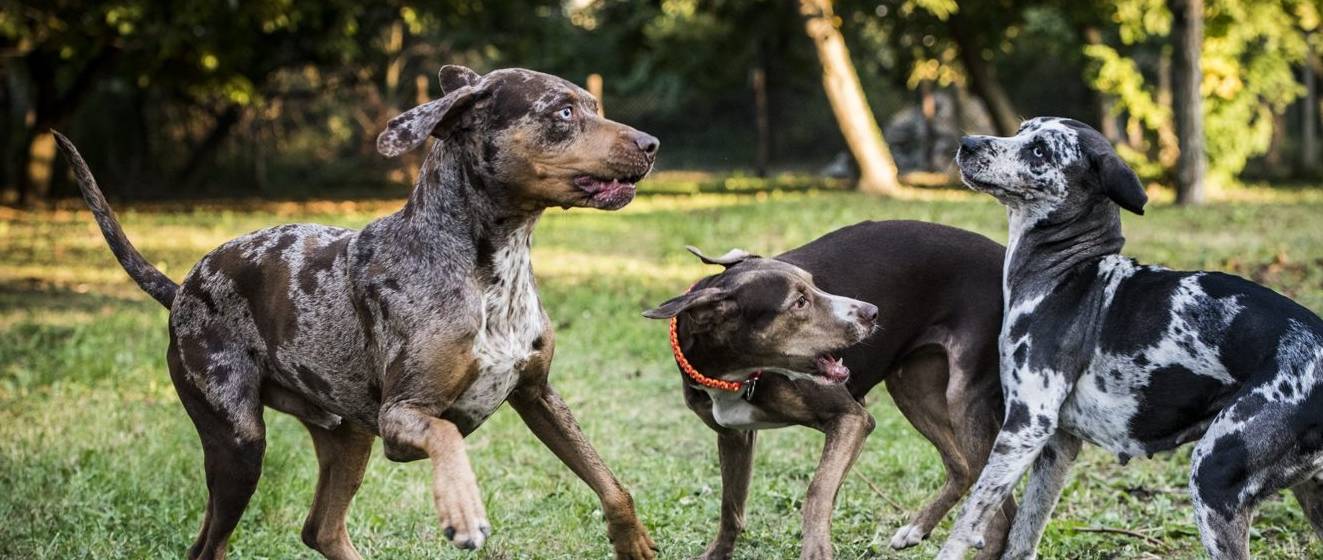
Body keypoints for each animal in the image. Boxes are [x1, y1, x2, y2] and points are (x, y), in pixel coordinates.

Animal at [52, 64, 661, 560]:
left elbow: (613, 485)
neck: (486, 267)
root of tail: (181, 288)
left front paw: (633, 541)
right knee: (212, 545)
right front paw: (462, 506)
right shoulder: (401, 417)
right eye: (563, 112)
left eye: (594, 106)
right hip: (239, 445)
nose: (652, 142)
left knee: (318, 530)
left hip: (346, 437)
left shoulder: (537, 395)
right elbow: (449, 436)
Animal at [645, 221, 1016, 558]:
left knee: (999, 512)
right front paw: (717, 554)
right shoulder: (734, 435)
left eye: (814, 285)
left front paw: (816, 548)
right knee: (962, 468)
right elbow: (731, 506)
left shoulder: (851, 419)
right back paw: (915, 528)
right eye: (799, 303)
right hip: (912, 388)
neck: (737, 374)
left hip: (964, 398)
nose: (872, 312)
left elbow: (818, 489)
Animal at [936, 116, 1323, 558]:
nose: (967, 143)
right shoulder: (1057, 446)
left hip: (1213, 478)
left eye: (1039, 150)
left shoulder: (1024, 426)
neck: (1066, 270)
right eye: (1021, 130)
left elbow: (968, 520)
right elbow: (1022, 537)